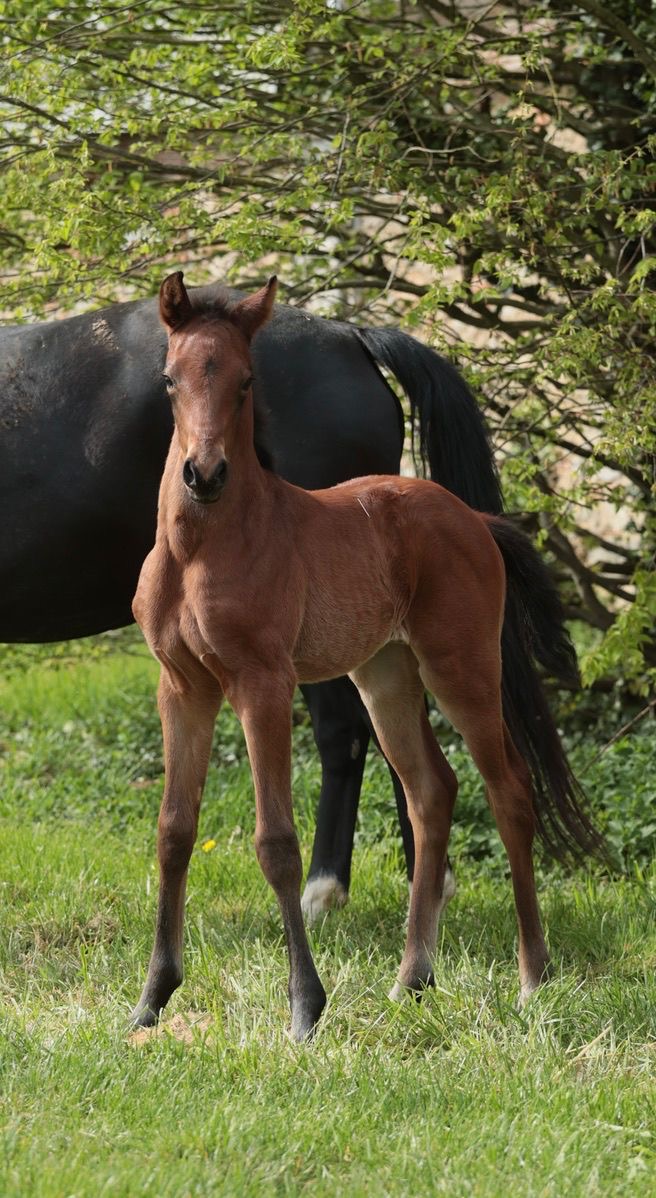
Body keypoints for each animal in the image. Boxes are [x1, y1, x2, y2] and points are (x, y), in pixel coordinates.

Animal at [0, 276, 503, 920]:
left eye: (245, 384)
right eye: (169, 380)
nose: (204, 474)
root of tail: (350, 334)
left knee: (348, 734)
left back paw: (329, 890)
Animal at [130, 272, 604, 1039]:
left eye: (245, 381)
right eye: (170, 379)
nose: (204, 474)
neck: (200, 548)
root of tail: (475, 520)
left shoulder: (263, 684)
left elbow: (277, 842)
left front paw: (304, 1008)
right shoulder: (183, 686)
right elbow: (174, 831)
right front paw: (151, 1000)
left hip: (462, 669)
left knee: (508, 790)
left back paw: (533, 978)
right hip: (385, 676)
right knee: (432, 791)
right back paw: (413, 978)